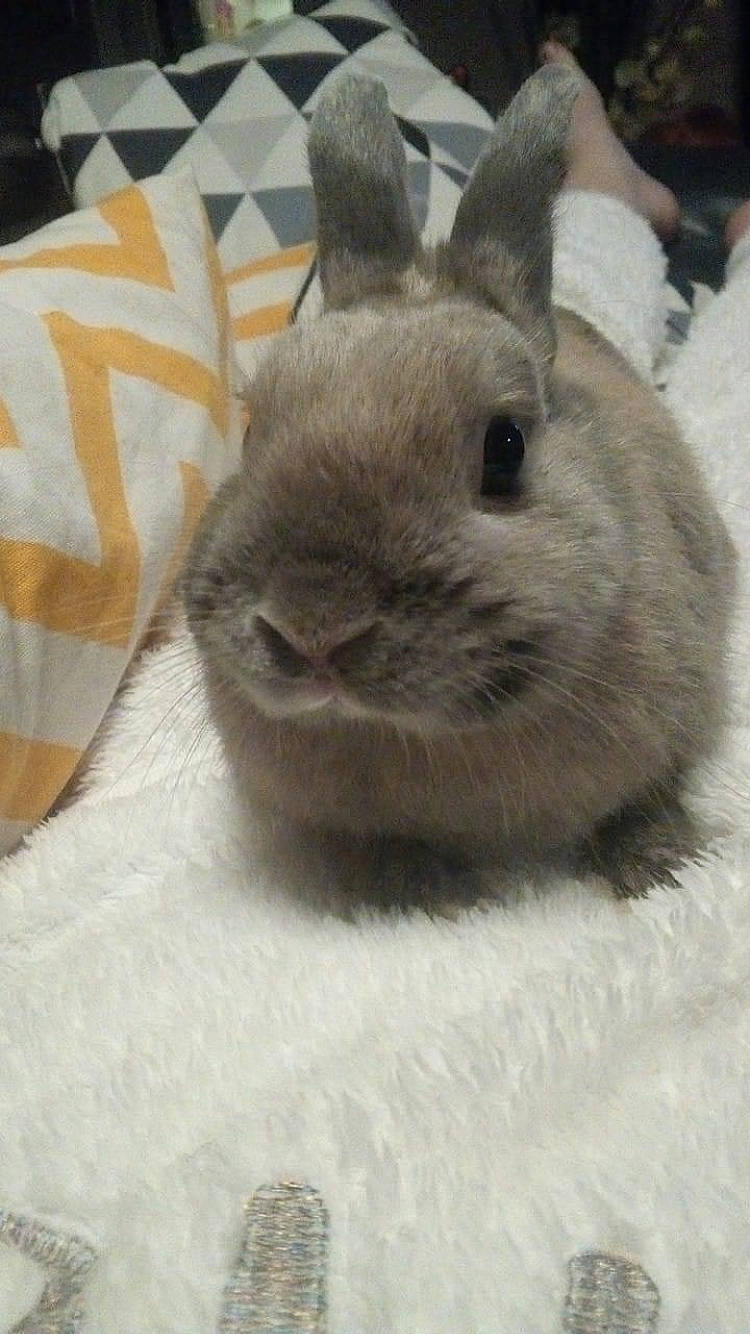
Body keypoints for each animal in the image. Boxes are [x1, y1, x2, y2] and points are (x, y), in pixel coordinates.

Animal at [180, 65, 736, 908]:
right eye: (251, 431)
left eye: (504, 449)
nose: (313, 630)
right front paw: (416, 896)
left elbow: (645, 800)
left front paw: (660, 870)